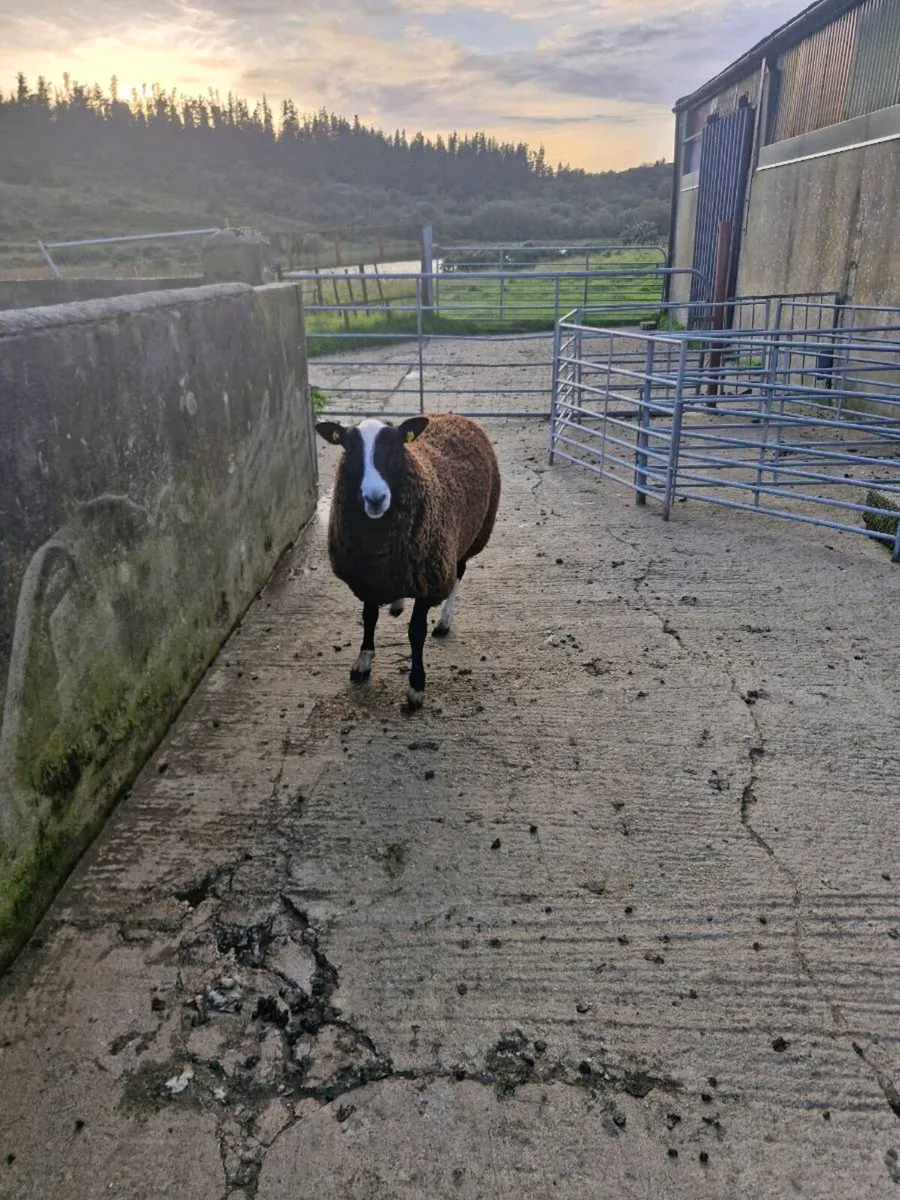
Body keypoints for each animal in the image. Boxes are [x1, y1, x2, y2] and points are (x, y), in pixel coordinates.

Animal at [315, 413, 501, 708]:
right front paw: (363, 662)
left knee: (458, 574)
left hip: (470, 538)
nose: (375, 498)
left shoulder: (430, 580)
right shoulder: (368, 578)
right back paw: (397, 603)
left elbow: (416, 631)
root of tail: (454, 415)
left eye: (396, 445)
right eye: (348, 446)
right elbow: (369, 618)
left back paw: (444, 621)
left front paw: (416, 686)